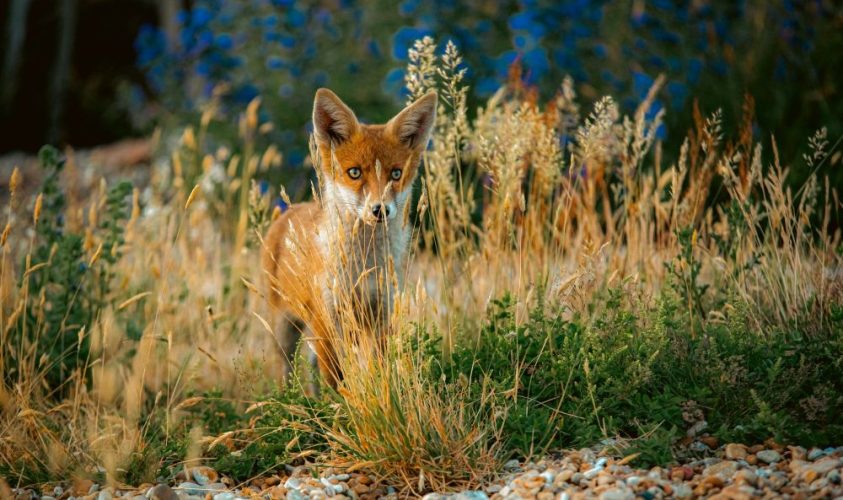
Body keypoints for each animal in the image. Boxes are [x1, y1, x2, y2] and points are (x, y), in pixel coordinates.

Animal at [262, 88, 436, 388]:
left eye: (396, 174)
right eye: (354, 172)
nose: (380, 210)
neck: (363, 265)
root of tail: (289, 211)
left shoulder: (381, 313)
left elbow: (378, 368)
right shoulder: (327, 317)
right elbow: (336, 380)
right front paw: (339, 401)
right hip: (285, 329)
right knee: (287, 369)